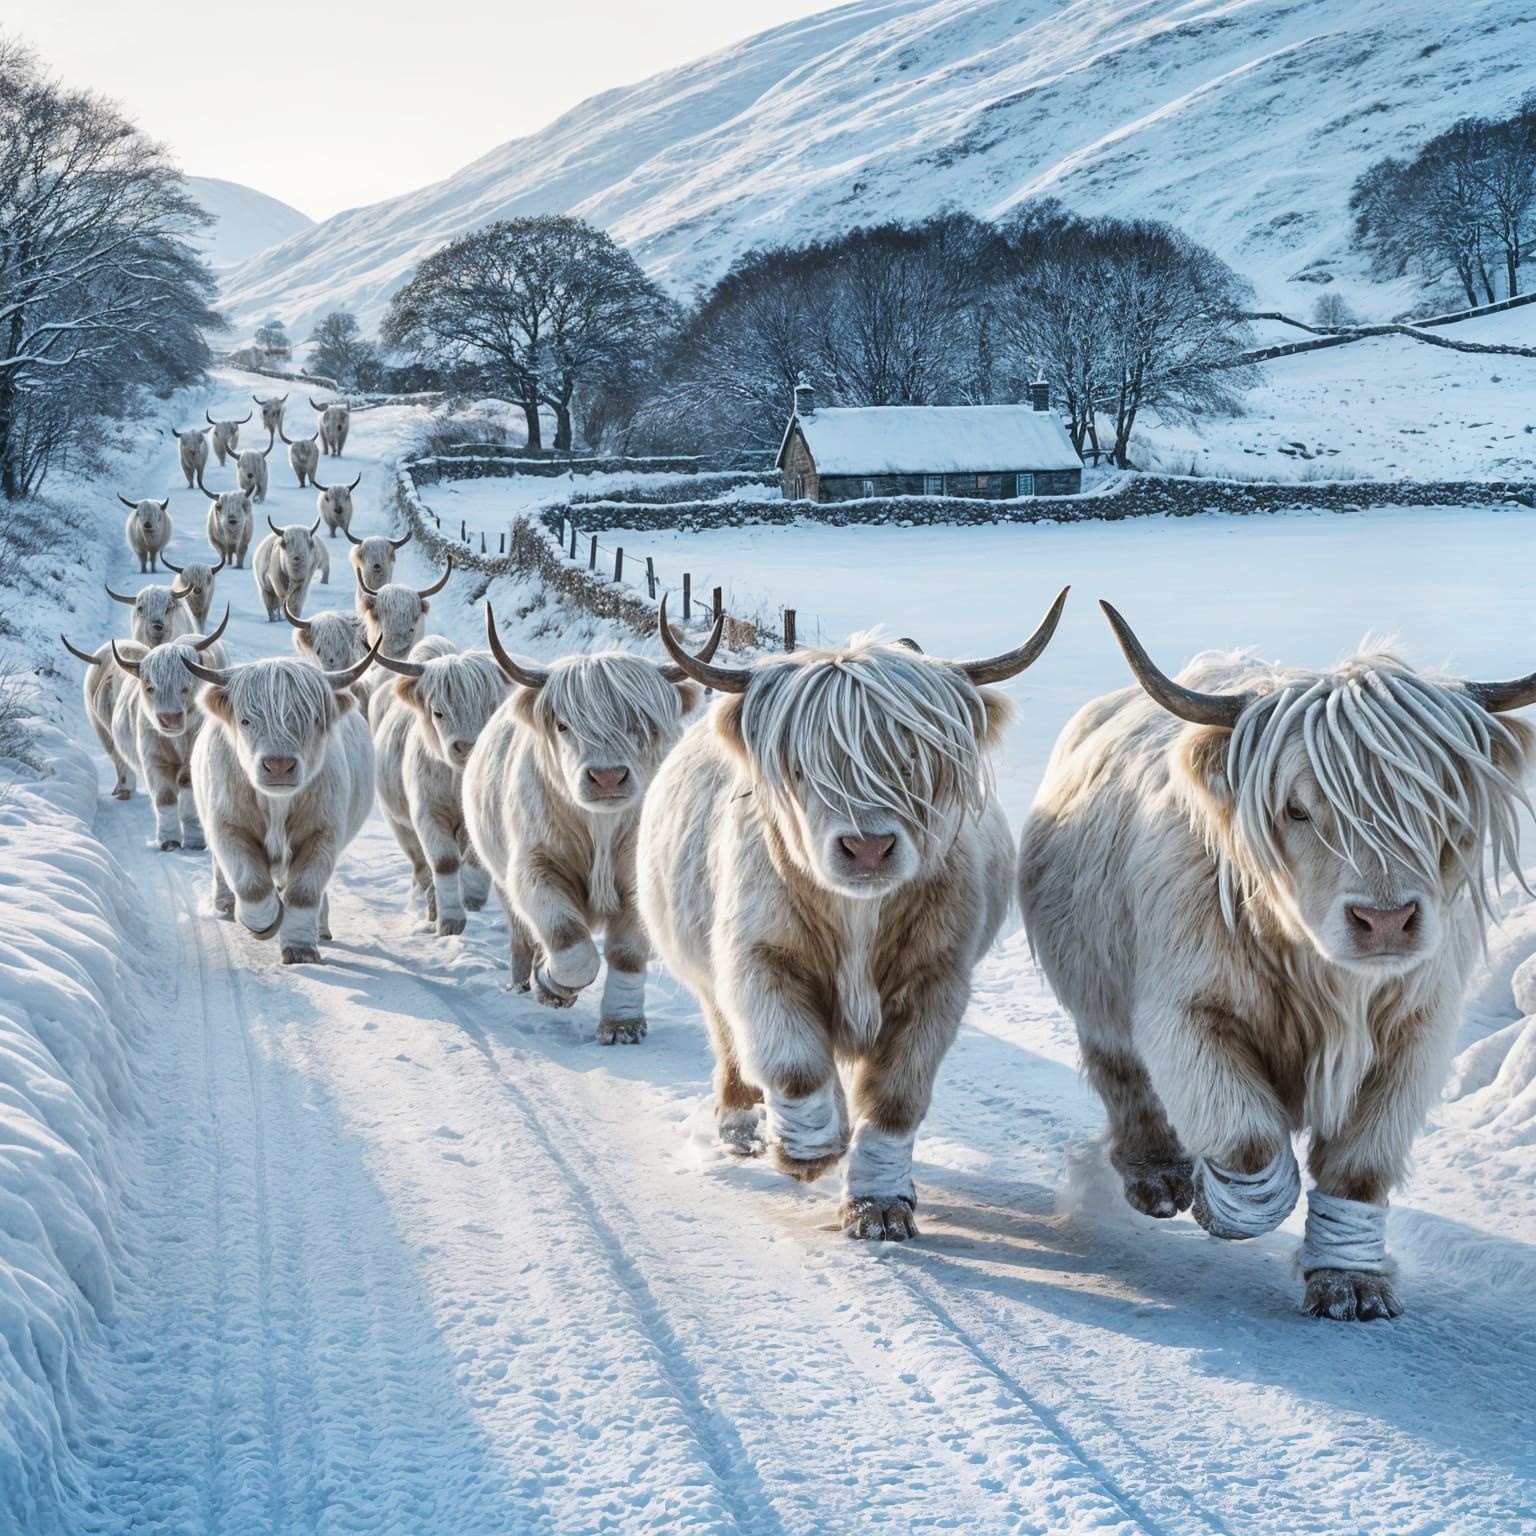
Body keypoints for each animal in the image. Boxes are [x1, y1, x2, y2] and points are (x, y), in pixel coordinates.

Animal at [107, 609, 230, 850]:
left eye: (186, 687)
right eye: (150, 687)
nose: (170, 718)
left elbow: (188, 787)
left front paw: (194, 839)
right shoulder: (154, 759)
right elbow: (165, 797)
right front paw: (169, 839)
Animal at [187, 647, 380, 964]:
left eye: (312, 719)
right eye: (246, 720)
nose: (279, 765)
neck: (276, 804)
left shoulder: (322, 834)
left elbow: (304, 892)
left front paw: (300, 949)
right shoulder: (228, 826)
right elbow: (251, 885)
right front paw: (262, 922)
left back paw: (321, 928)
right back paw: (226, 903)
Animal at [464, 604, 726, 1045]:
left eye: (641, 722)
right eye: (563, 724)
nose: (607, 778)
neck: (601, 830)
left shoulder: (639, 883)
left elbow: (626, 954)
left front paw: (622, 1024)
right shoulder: (534, 867)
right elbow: (569, 943)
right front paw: (551, 985)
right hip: (501, 878)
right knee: (523, 930)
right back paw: (524, 981)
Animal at [638, 590, 1068, 1240]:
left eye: (913, 757)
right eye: (801, 765)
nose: (867, 848)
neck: (858, 917)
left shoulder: (937, 981)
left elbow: (895, 1099)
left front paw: (879, 1204)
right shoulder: (758, 960)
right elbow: (792, 1064)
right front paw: (808, 1152)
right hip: (707, 974)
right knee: (733, 1045)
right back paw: (744, 1129)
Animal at [1018, 604, 1536, 1320]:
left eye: (1434, 804)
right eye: (1297, 808)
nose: (1385, 921)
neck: (1326, 978)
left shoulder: (1413, 1036)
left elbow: (1360, 1167)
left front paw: (1351, 1283)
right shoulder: (1188, 1016)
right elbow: (1245, 1138)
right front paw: (1221, 1206)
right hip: (1096, 991)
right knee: (1123, 1076)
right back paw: (1158, 1176)